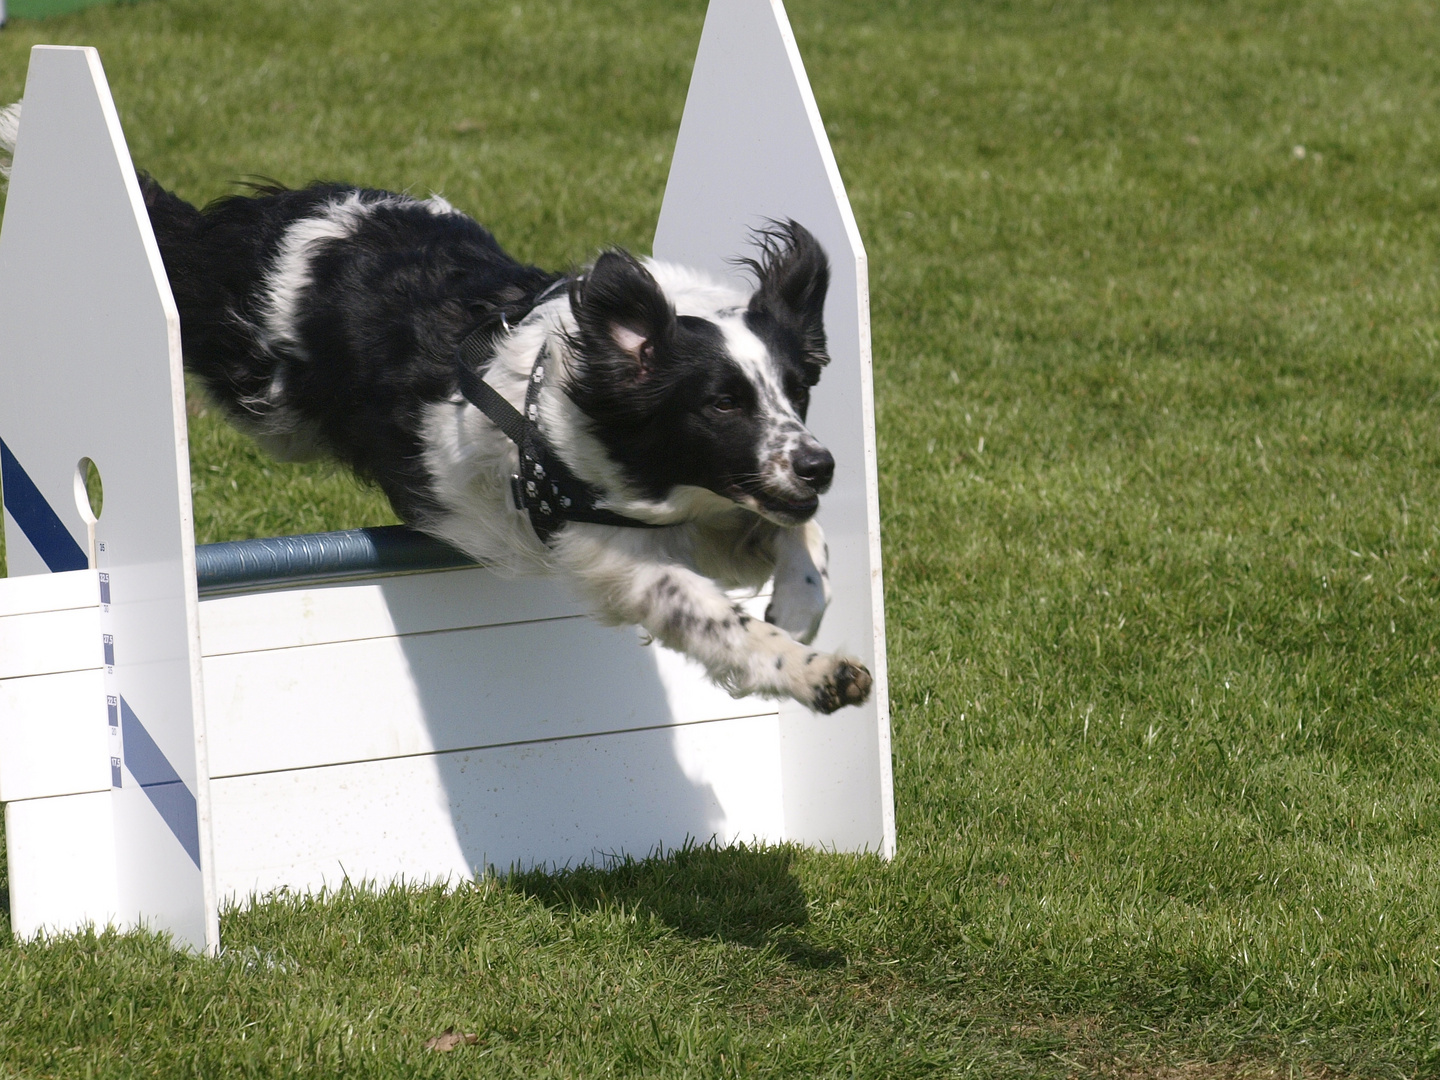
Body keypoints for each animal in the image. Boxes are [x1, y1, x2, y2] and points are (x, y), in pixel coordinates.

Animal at [2, 110, 864, 720]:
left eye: (797, 388)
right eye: (722, 401)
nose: (820, 464)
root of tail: (278, 218)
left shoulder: (731, 506)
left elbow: (806, 539)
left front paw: (799, 607)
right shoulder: (616, 556)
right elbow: (718, 618)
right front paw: (815, 672)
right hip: (256, 385)